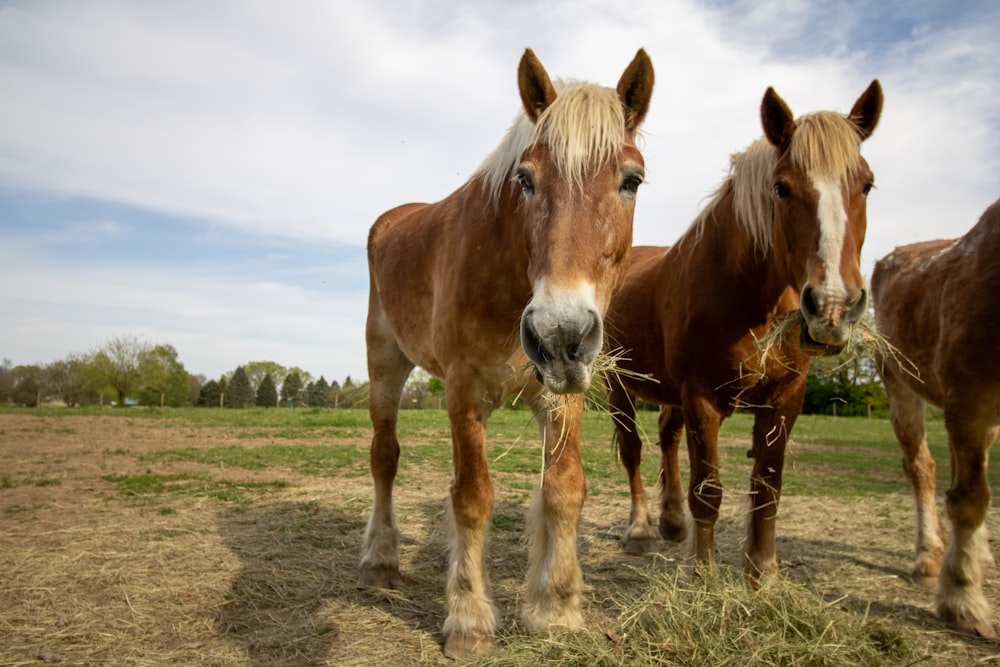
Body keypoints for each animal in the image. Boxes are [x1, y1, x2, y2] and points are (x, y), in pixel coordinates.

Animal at [360, 48, 656, 656]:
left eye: (632, 179)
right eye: (525, 178)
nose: (560, 333)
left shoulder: (563, 393)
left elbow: (564, 489)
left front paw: (556, 605)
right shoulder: (463, 391)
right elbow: (472, 497)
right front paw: (469, 620)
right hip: (385, 363)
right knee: (385, 457)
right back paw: (380, 560)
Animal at [604, 82, 880, 584]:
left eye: (866, 183)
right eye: (781, 187)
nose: (833, 306)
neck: (746, 295)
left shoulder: (785, 397)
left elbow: (767, 486)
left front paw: (763, 572)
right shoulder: (702, 398)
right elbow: (708, 490)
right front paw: (704, 576)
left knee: (667, 437)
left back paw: (672, 522)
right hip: (620, 384)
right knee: (633, 449)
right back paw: (642, 530)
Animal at [868, 197, 1000, 636]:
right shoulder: (971, 399)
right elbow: (969, 499)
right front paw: (961, 599)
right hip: (900, 385)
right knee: (922, 468)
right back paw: (929, 558)